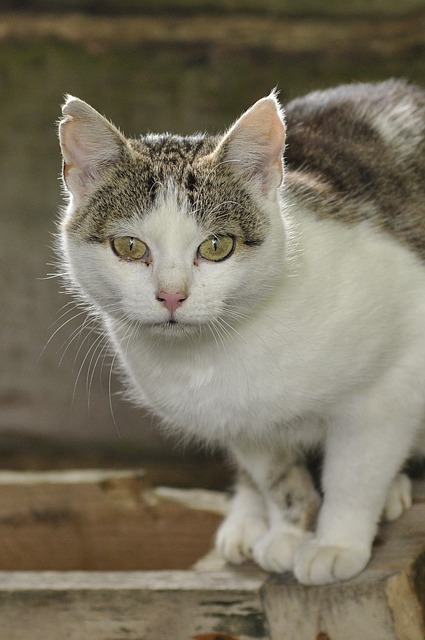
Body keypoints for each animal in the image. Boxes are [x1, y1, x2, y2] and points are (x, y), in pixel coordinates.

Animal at [57, 77, 424, 584]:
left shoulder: (392, 381)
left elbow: (355, 472)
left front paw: (335, 543)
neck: (218, 353)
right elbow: (277, 479)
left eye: (217, 246)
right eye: (129, 246)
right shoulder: (244, 422)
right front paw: (289, 529)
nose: (172, 296)